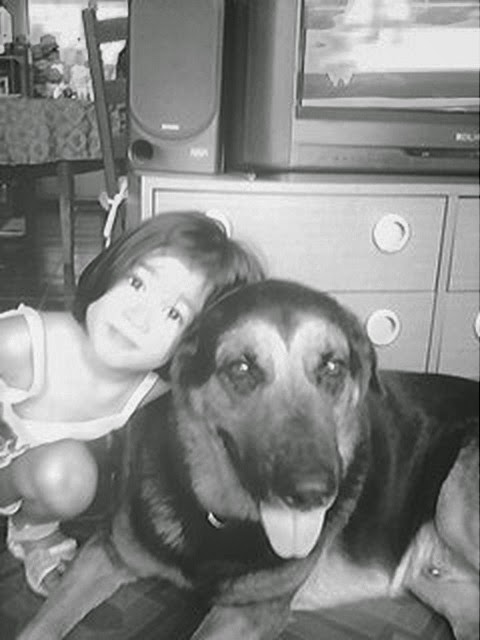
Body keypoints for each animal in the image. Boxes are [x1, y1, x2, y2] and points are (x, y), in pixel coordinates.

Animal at [18, 280, 479, 640]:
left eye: (332, 367)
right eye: (241, 368)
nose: (311, 493)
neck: (217, 520)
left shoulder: (249, 613)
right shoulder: (107, 552)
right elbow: (40, 624)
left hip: (453, 508)